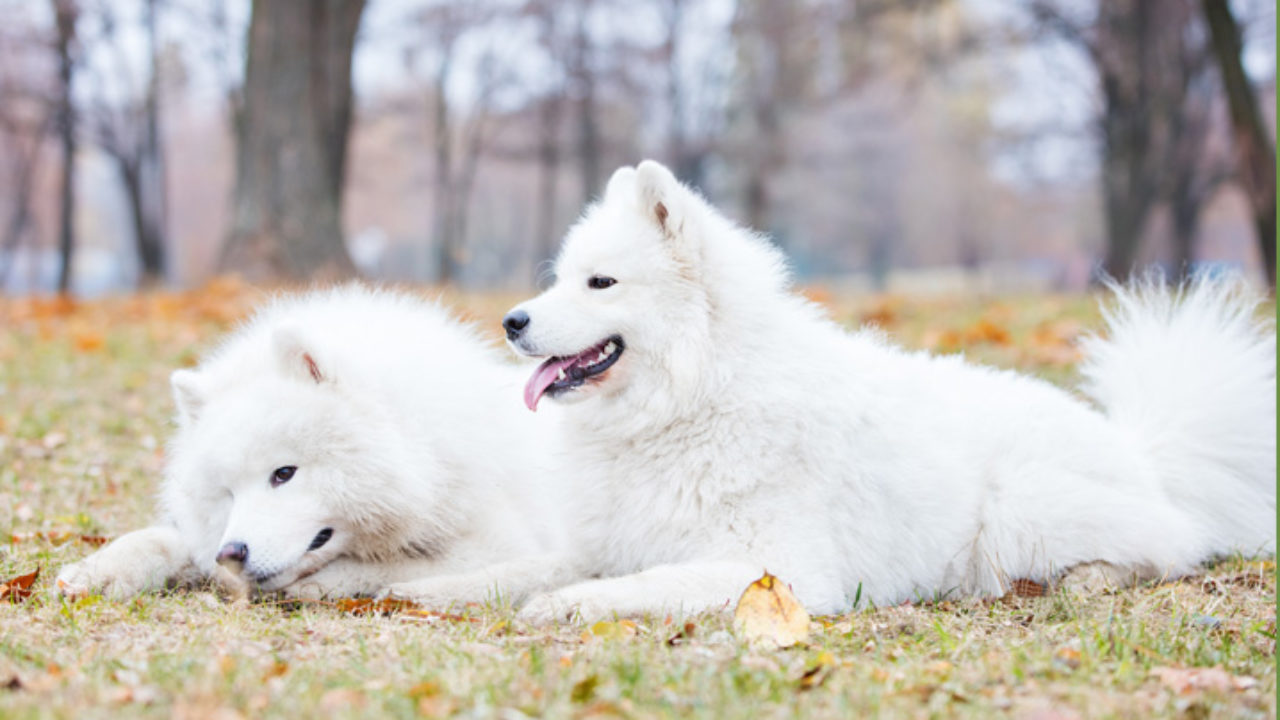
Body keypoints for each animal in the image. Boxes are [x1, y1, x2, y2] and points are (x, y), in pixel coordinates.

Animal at [57, 283, 560, 597]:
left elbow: (390, 564)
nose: (231, 553)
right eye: (227, 493)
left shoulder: (497, 541)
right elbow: (161, 539)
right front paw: (98, 571)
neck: (425, 448)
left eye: (284, 473)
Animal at [394, 159, 1274, 620]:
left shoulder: (776, 571)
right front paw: (432, 590)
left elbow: (633, 584)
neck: (694, 400)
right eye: (558, 279)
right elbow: (527, 567)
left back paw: (1085, 579)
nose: (511, 322)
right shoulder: (605, 540)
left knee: (1170, 550)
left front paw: (568, 606)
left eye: (599, 282)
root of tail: (1143, 453)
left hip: (1019, 510)